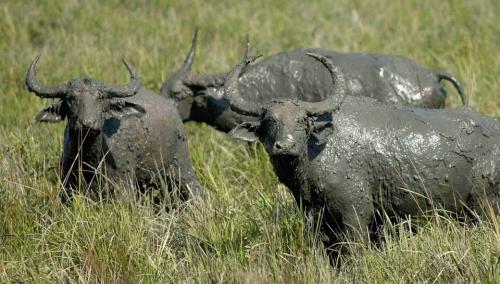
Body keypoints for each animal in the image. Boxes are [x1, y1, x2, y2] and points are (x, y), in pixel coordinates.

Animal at [26, 55, 203, 202]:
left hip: (182, 167)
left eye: (101, 98)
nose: (88, 123)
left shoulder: (122, 188)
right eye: (71, 98)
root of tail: (171, 105)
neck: (90, 159)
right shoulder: (68, 184)